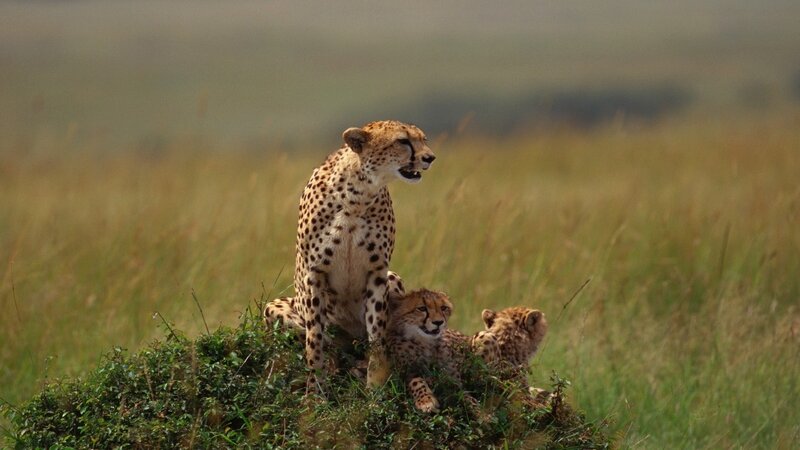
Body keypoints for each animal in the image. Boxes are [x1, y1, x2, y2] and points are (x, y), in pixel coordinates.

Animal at [263, 120, 435, 390]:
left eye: (423, 139)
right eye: (403, 141)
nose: (430, 157)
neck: (358, 195)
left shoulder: (377, 272)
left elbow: (377, 333)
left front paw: (375, 386)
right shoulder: (315, 274)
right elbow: (315, 340)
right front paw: (316, 390)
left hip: (393, 278)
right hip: (275, 308)